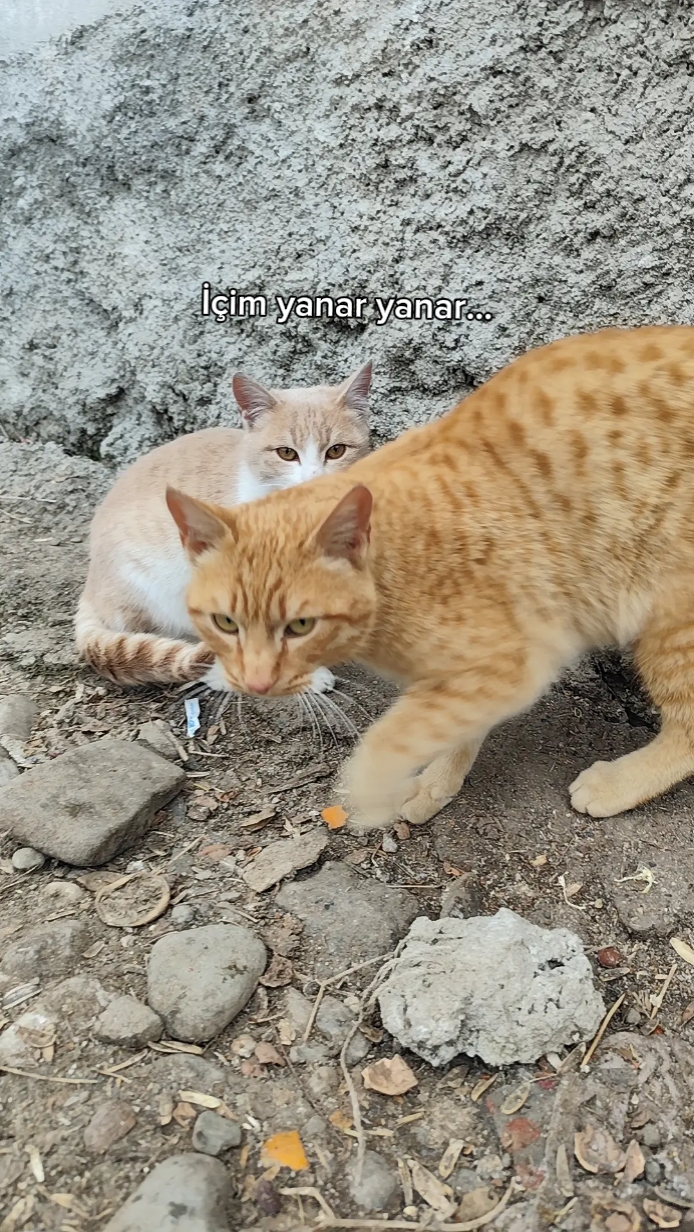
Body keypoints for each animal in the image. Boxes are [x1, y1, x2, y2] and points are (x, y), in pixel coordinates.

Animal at [165, 324, 694, 830]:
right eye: (225, 623)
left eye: (300, 626)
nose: (254, 683)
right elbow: (450, 722)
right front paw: (439, 779)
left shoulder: (514, 660)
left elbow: (392, 739)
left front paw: (384, 788)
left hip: (671, 622)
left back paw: (620, 782)